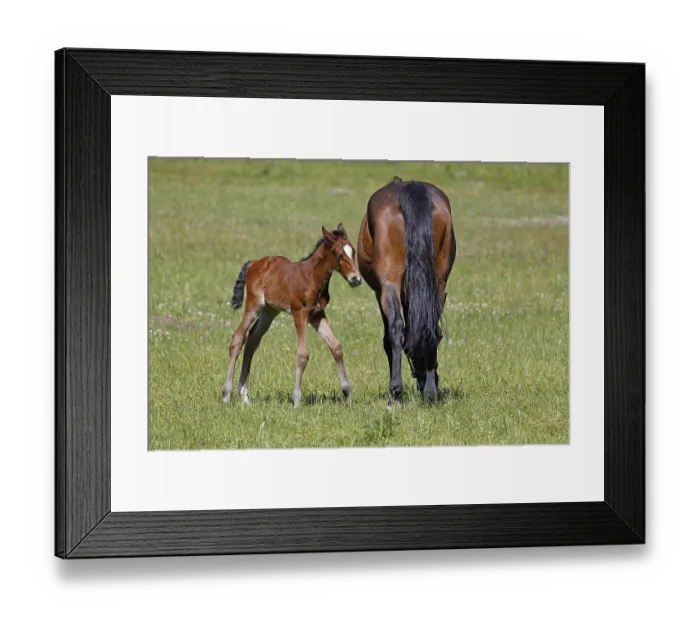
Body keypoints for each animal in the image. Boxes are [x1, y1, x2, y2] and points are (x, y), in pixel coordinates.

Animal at [222, 224, 363, 409]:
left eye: (353, 252)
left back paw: (244, 396)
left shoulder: (317, 314)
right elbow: (302, 354)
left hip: (270, 311)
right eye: (339, 255)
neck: (312, 277)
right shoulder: (299, 313)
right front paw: (296, 400)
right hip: (254, 305)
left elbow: (336, 346)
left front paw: (347, 394)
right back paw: (226, 395)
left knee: (252, 340)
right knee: (238, 338)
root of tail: (255, 263)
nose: (356, 279)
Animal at [357, 176, 456, 404]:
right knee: (432, 326)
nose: (420, 379)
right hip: (438, 282)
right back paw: (430, 391)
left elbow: (389, 337)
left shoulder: (380, 291)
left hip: (389, 284)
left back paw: (396, 393)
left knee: (395, 327)